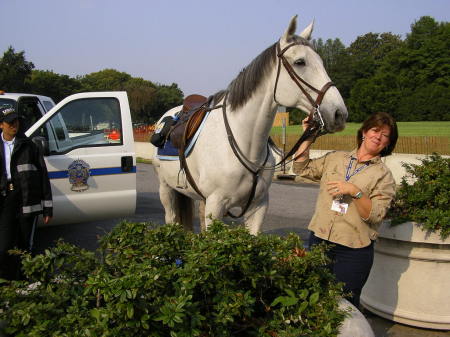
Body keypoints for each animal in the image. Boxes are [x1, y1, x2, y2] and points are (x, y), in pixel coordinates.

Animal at [153, 16, 346, 234]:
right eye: (300, 62)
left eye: (321, 62)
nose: (339, 113)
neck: (245, 143)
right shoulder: (215, 205)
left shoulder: (258, 207)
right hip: (166, 189)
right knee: (171, 218)